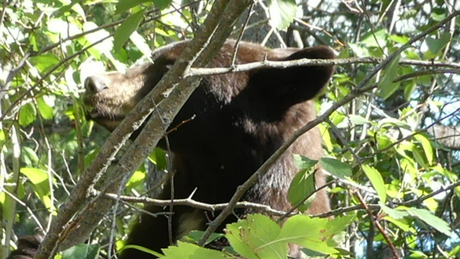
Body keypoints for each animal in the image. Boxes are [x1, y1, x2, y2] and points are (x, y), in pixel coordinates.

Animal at [6, 39, 334, 259]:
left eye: (170, 67)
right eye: (155, 60)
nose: (93, 83)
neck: (208, 179)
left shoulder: (259, 228)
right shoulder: (165, 213)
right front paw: (28, 249)